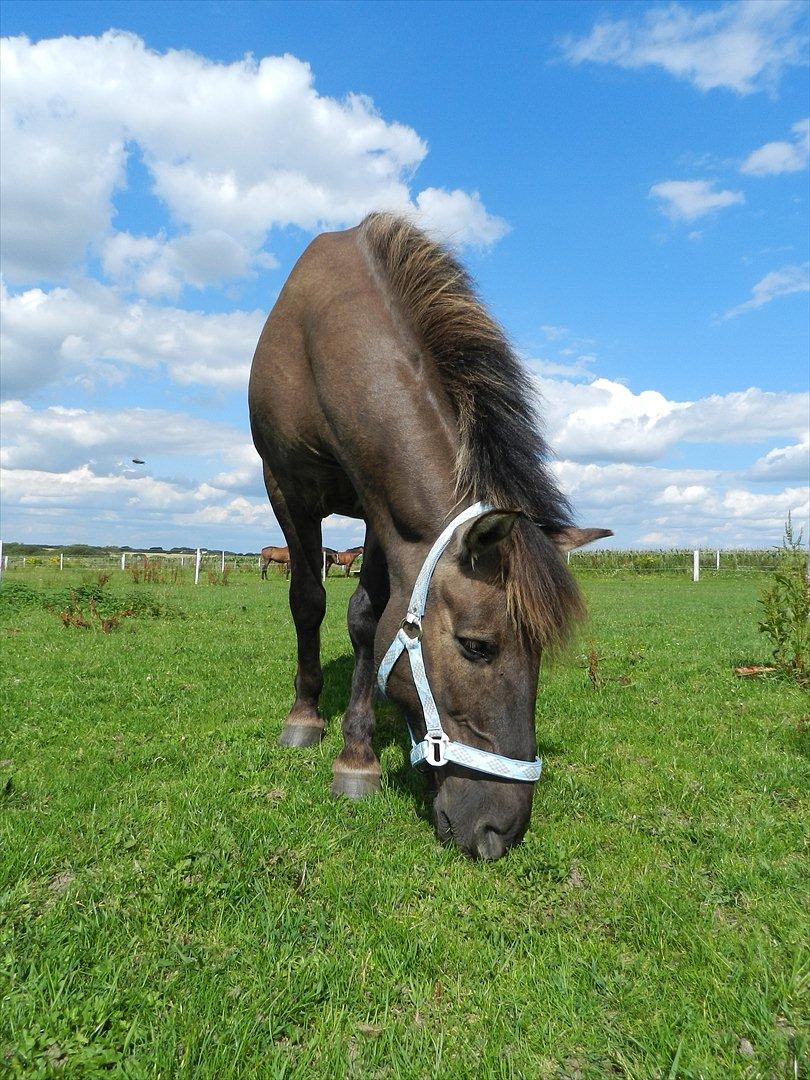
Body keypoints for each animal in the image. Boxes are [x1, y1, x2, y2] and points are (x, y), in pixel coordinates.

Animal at [250, 212, 613, 859]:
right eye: (476, 646)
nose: (501, 831)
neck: (323, 340)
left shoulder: (383, 510)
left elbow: (367, 616)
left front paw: (357, 751)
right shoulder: (286, 490)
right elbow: (308, 602)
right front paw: (308, 720)